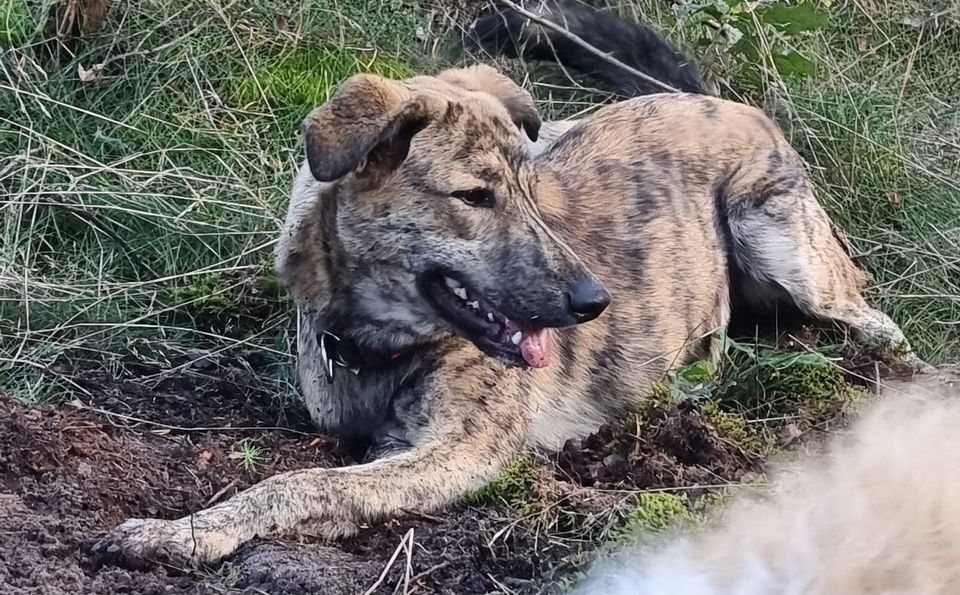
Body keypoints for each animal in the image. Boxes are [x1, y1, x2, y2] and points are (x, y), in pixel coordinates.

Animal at [94, 0, 928, 568]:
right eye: (474, 196)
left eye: (530, 192)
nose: (593, 302)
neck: (372, 341)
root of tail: (726, 99)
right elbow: (307, 476)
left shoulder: (457, 452)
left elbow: (299, 484)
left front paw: (182, 532)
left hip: (780, 241)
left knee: (879, 322)